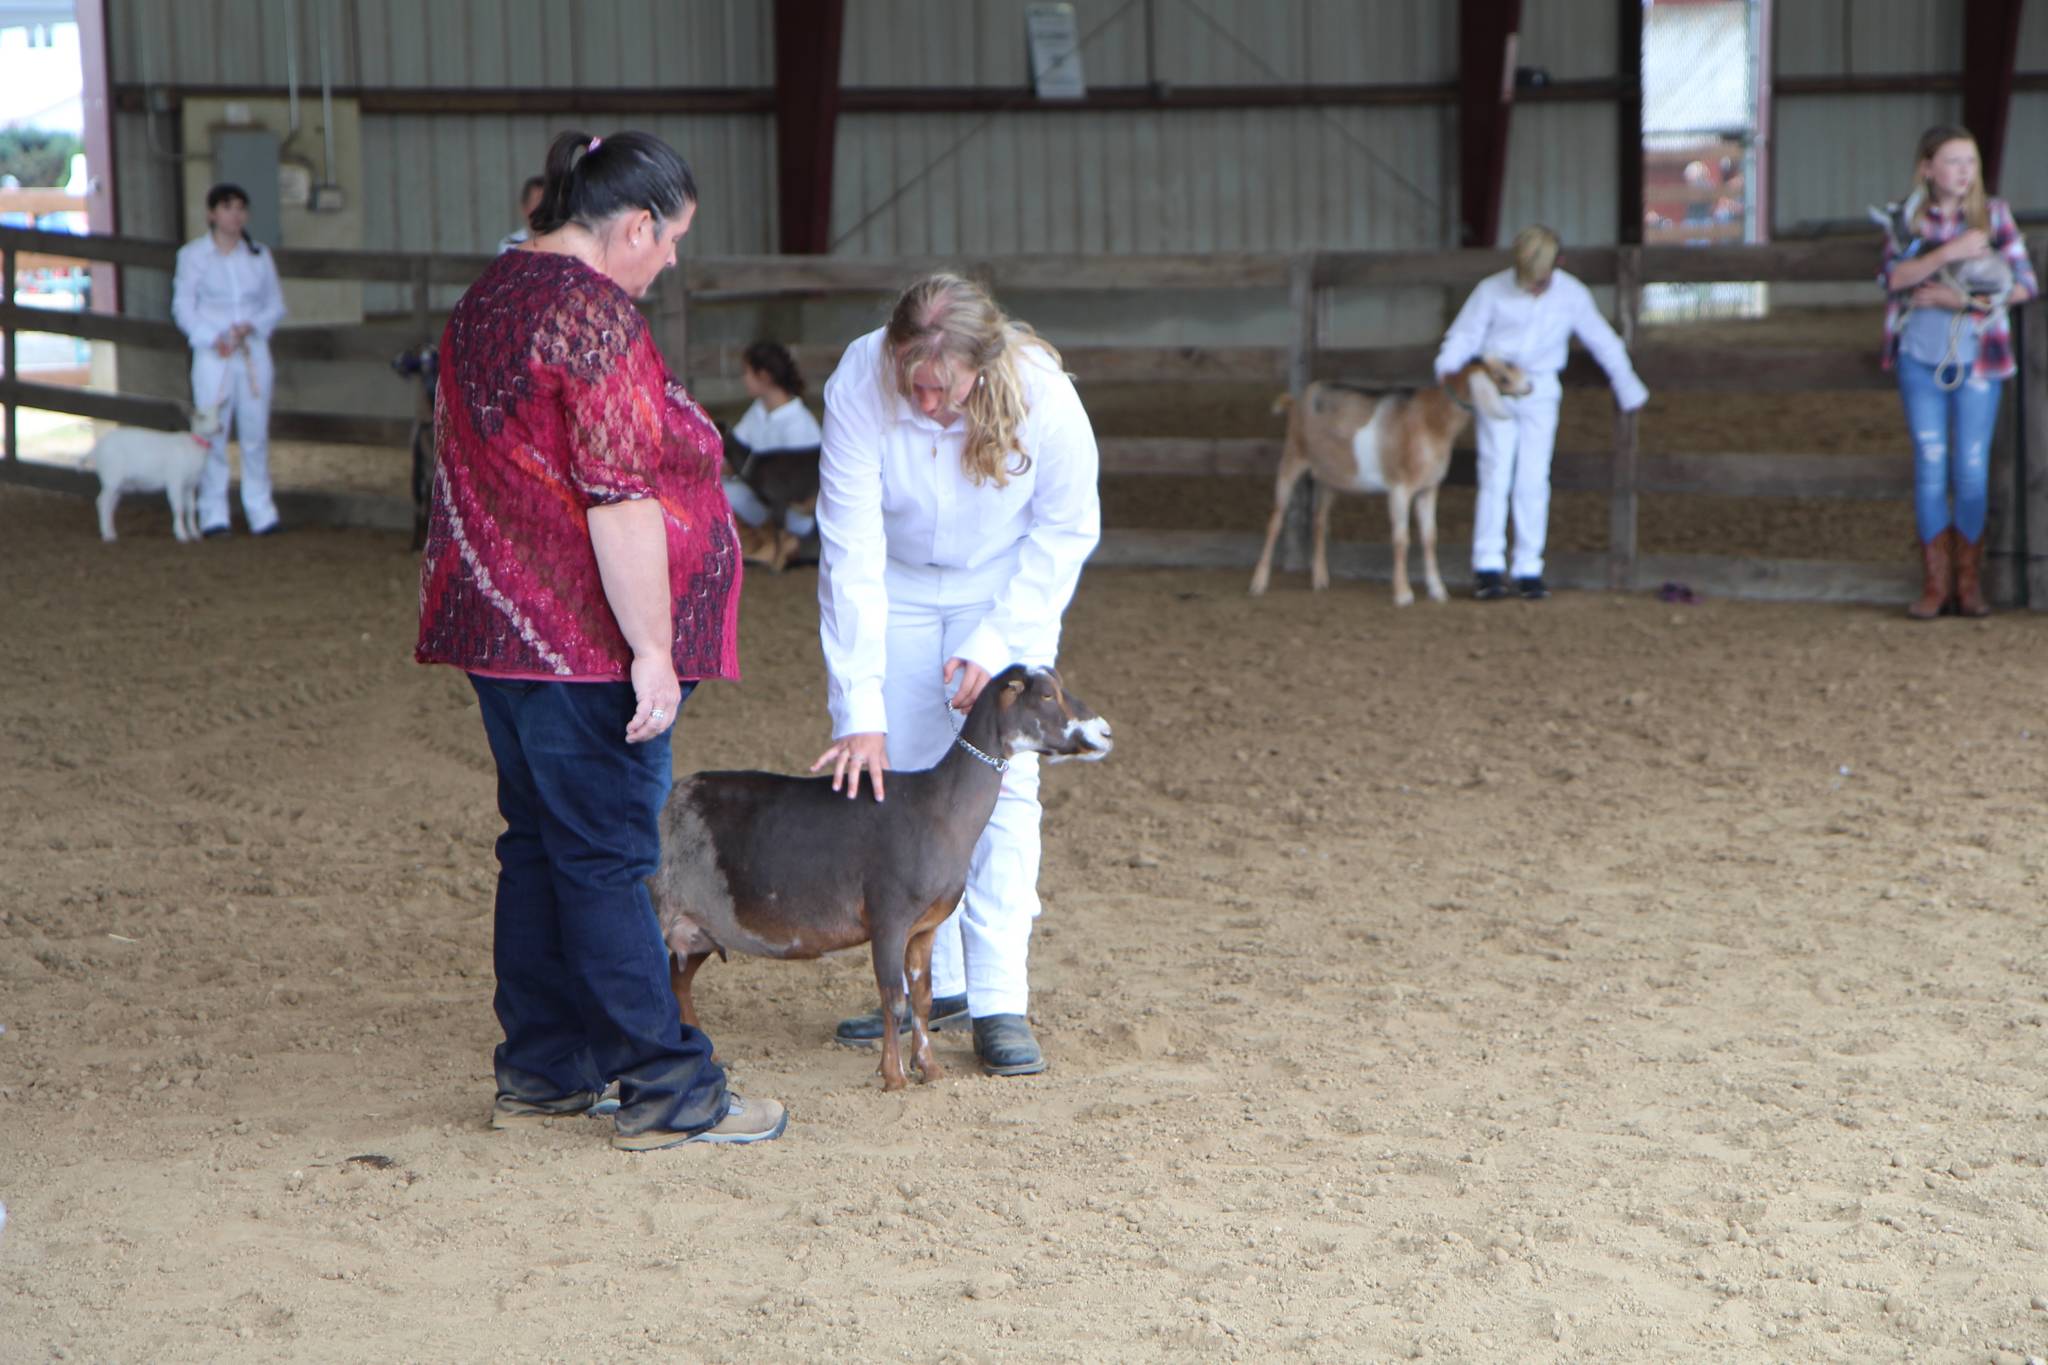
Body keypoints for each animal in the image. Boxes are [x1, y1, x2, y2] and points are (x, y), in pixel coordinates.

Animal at [651, 667, 1105, 1096]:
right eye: (1046, 695)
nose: (1104, 732)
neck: (941, 806)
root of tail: (671, 797)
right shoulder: (889, 920)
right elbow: (893, 999)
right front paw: (894, 1076)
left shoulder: (925, 928)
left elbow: (922, 999)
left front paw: (931, 1070)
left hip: (698, 928)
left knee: (677, 982)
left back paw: (705, 1051)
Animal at [1236, 358, 1531, 601]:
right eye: (1501, 375)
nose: (1530, 386)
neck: (1430, 421)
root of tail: (1297, 401)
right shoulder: (1400, 489)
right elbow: (1401, 538)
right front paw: (1403, 593)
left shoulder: (1428, 489)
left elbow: (1429, 537)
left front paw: (1437, 590)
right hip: (1292, 460)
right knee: (1275, 521)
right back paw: (1258, 584)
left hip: (1328, 479)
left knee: (1320, 522)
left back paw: (1320, 579)